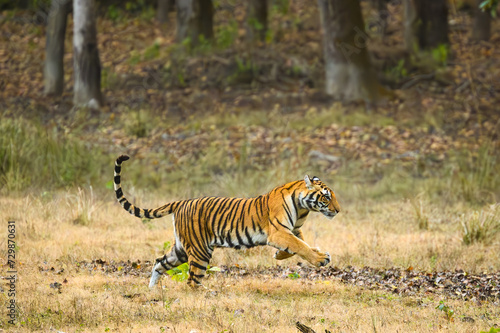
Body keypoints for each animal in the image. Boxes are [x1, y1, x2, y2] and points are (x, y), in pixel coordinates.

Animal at [113, 154, 340, 286]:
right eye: (327, 197)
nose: (338, 210)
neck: (303, 208)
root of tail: (181, 202)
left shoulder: (293, 230)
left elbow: (300, 244)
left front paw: (281, 255)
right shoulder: (279, 231)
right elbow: (300, 246)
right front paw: (320, 258)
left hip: (180, 249)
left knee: (159, 262)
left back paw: (152, 290)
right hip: (200, 250)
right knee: (192, 281)